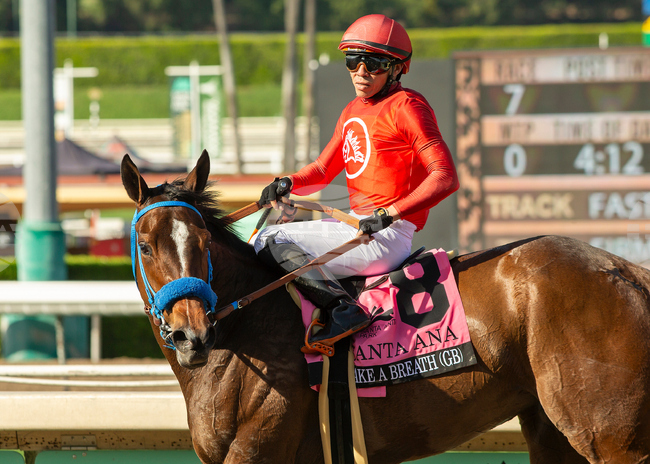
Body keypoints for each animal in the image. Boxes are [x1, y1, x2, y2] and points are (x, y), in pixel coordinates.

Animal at [121, 150, 650, 464]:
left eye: (204, 243)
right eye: (145, 246)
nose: (192, 334)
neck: (244, 334)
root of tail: (626, 270)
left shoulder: (258, 449)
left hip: (612, 435)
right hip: (550, 428)